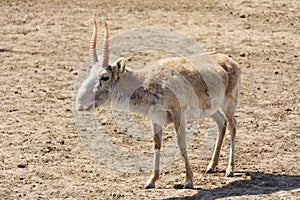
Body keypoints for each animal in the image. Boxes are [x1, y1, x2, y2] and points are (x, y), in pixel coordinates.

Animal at [76, 17, 240, 189]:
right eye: (90, 73)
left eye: (105, 77)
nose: (80, 103)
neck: (148, 80)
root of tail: (229, 60)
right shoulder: (155, 117)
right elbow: (157, 144)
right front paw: (151, 180)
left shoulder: (178, 114)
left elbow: (181, 144)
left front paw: (188, 180)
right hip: (211, 109)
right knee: (221, 123)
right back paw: (211, 166)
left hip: (229, 103)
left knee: (233, 126)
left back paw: (230, 169)